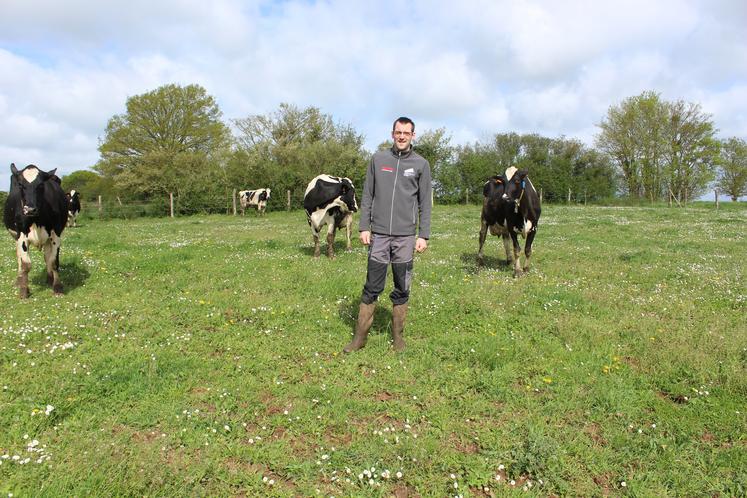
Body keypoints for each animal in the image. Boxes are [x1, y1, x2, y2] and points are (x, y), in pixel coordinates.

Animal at [3, 163, 68, 298]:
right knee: (19, 256)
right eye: (20, 185)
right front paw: (24, 290)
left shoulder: (56, 234)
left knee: (47, 256)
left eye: (41, 185)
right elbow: (26, 264)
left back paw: (49, 278)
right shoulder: (21, 235)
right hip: (15, 237)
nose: (30, 209)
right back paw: (19, 279)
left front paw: (57, 287)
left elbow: (54, 261)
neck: (36, 220)